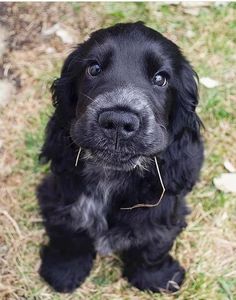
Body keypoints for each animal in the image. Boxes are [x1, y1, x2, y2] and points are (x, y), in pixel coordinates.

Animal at [37, 22, 203, 292]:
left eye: (161, 78)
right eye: (93, 69)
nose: (118, 121)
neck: (111, 176)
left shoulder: (163, 208)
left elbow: (153, 244)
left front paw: (157, 278)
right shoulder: (60, 195)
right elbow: (68, 231)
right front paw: (64, 271)